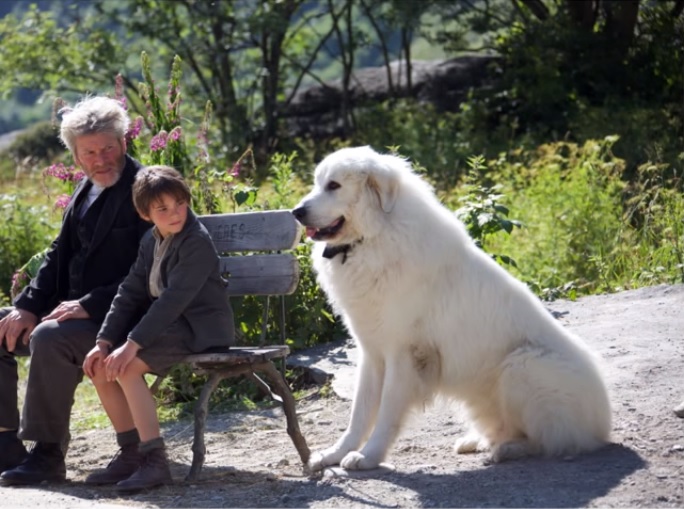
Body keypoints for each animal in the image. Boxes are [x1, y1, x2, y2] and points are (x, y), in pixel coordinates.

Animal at [292, 145, 612, 470]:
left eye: (334, 186)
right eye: (317, 183)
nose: (296, 212)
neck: (375, 237)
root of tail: (601, 426)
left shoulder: (403, 355)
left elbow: (387, 412)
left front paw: (369, 456)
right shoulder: (372, 352)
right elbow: (359, 413)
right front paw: (335, 454)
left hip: (521, 366)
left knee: (545, 439)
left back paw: (507, 450)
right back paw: (478, 441)